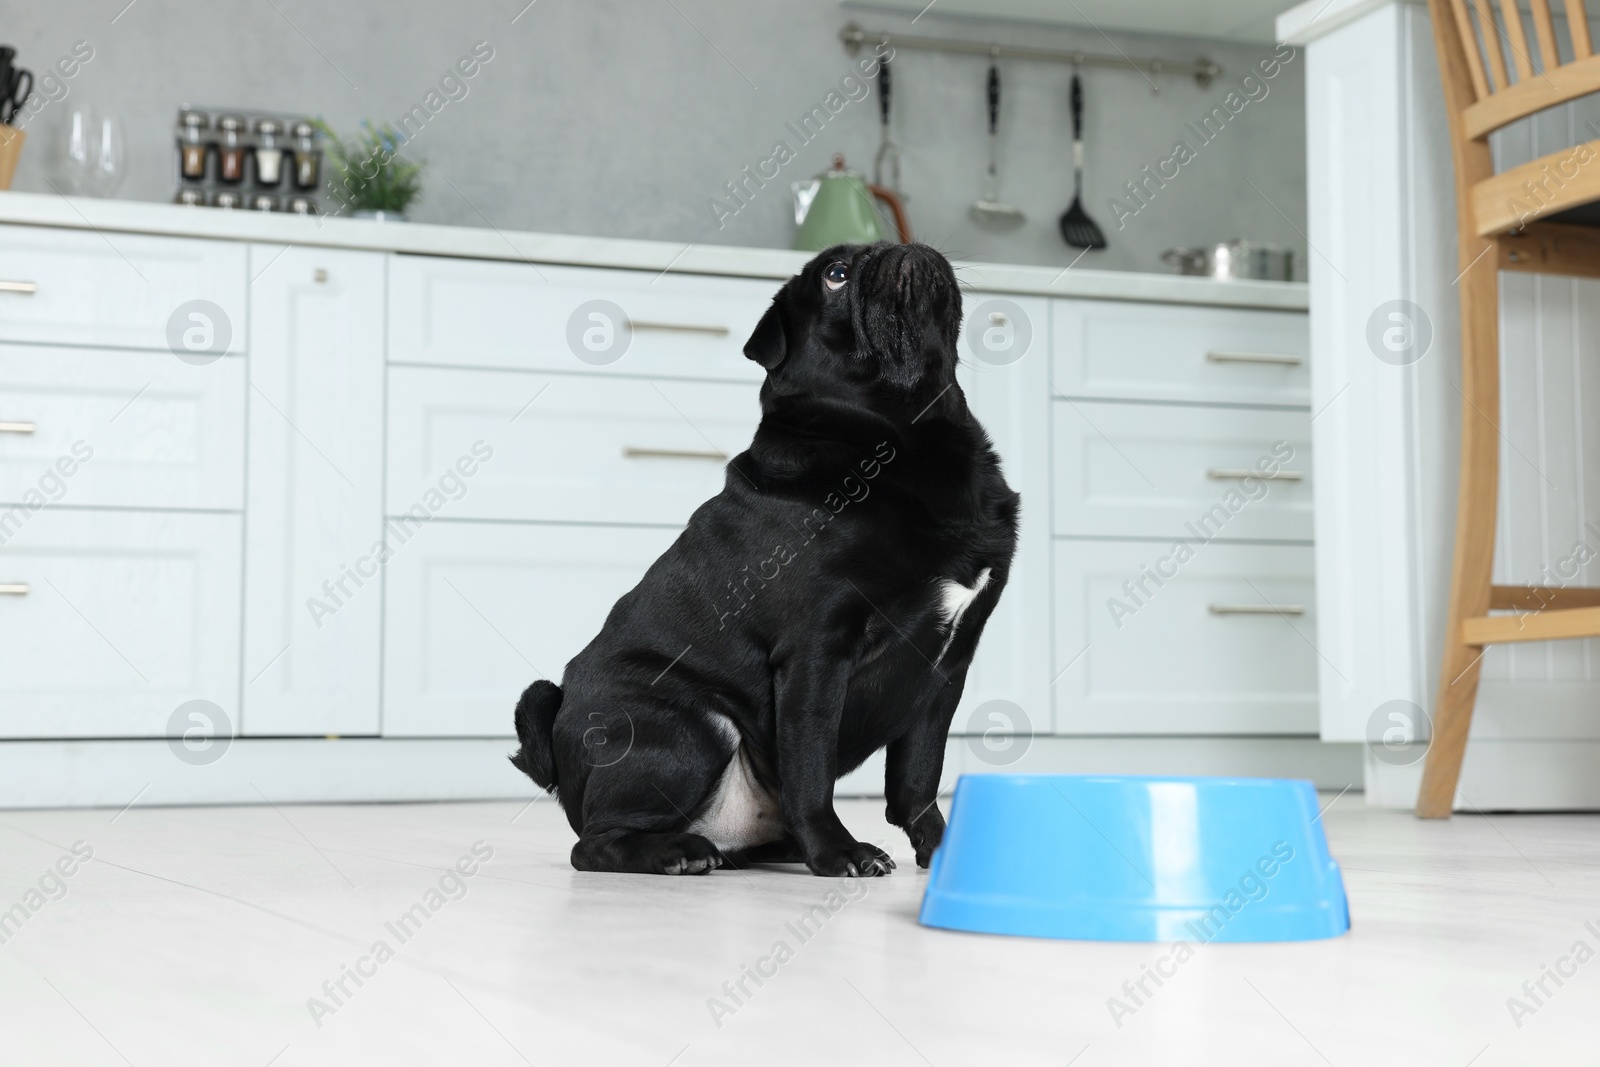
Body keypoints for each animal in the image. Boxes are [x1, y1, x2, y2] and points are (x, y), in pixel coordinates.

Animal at [505, 241, 1017, 876]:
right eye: (836, 275)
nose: (896, 248)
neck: (910, 432)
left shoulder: (947, 665)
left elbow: (918, 778)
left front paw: (945, 852)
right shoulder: (817, 651)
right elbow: (811, 769)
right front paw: (838, 851)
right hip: (693, 725)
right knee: (593, 843)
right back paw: (677, 852)